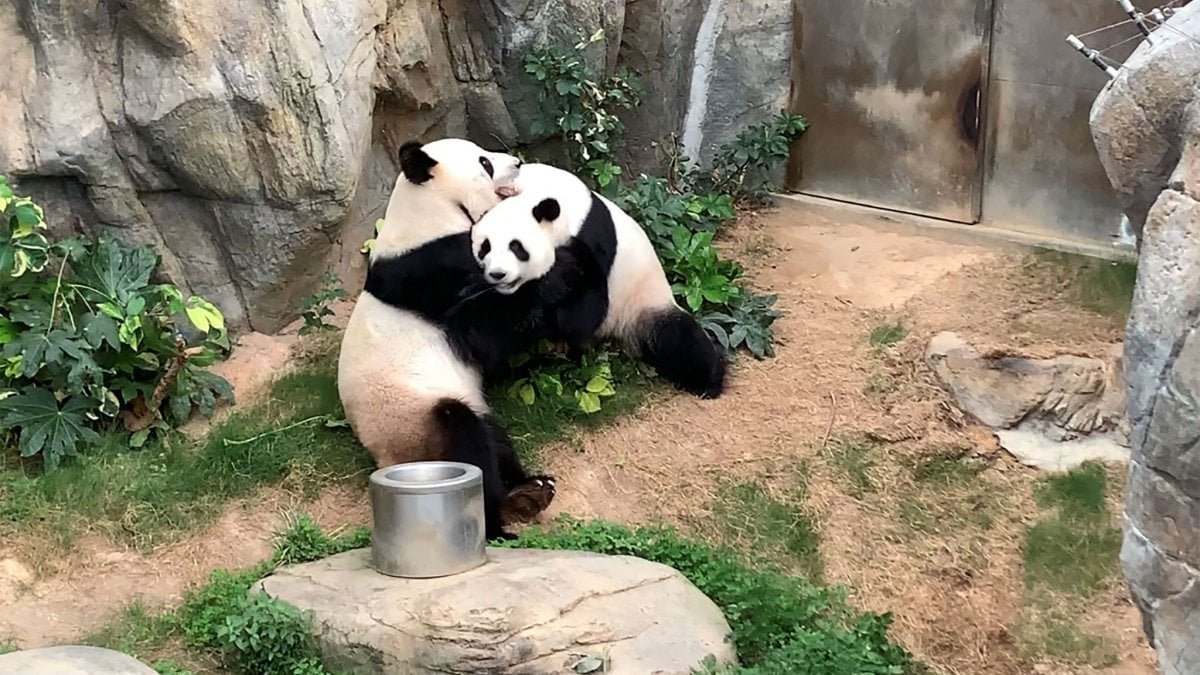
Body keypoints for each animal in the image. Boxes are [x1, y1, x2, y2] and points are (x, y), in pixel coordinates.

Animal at [337, 138, 556, 541]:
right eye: (485, 163)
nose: (517, 163)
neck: (430, 212)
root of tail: (385, 459)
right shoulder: (432, 273)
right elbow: (486, 333)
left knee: (494, 438)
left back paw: (529, 490)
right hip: (414, 419)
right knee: (465, 439)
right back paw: (498, 518)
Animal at [467, 162, 727, 399]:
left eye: (517, 247)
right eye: (485, 247)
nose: (498, 274)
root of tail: (617, 334)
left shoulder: (591, 238)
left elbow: (584, 312)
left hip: (643, 303)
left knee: (679, 339)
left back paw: (708, 383)